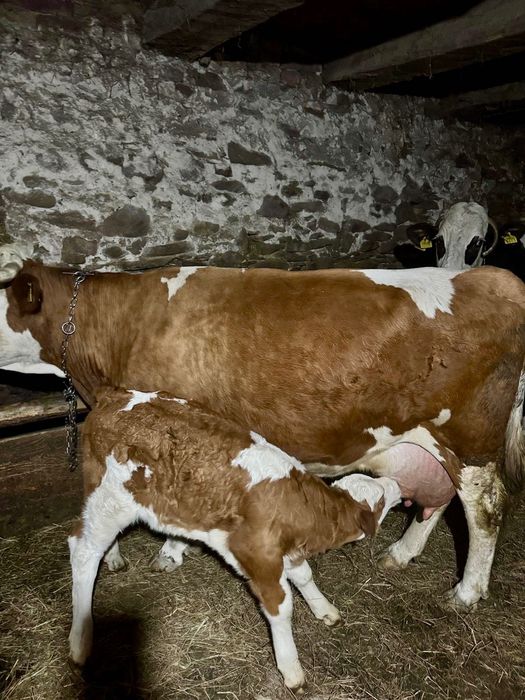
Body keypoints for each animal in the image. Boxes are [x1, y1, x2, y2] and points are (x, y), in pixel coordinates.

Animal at [1, 246, 525, 611]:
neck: (120, 327)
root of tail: (494, 278)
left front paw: (170, 550)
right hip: (431, 442)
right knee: (439, 497)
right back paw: (401, 552)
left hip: (471, 441)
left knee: (485, 508)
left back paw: (466, 592)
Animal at [69, 386, 401, 689]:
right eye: (381, 498)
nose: (397, 484)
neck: (299, 507)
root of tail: (113, 396)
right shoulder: (258, 555)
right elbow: (281, 606)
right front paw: (291, 669)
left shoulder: (284, 551)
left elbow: (304, 575)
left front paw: (325, 610)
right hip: (113, 499)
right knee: (82, 549)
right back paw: (81, 639)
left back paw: (113, 556)